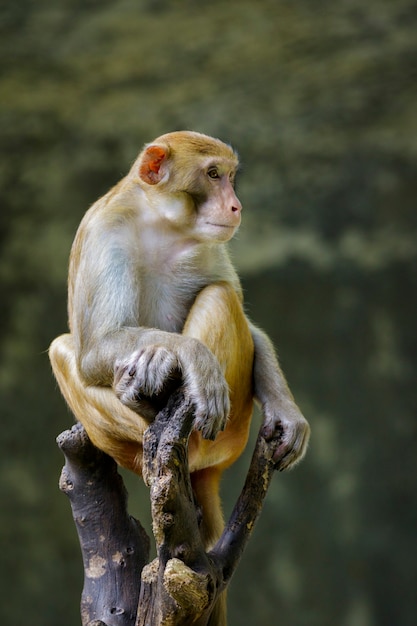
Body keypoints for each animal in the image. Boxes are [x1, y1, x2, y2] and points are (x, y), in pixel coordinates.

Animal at [48, 129, 308, 620]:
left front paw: (287, 413)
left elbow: (248, 323)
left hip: (232, 429)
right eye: (213, 174)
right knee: (61, 349)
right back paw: (148, 412)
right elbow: (93, 348)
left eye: (229, 176)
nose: (235, 206)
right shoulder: (104, 231)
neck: (162, 223)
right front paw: (189, 355)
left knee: (219, 294)